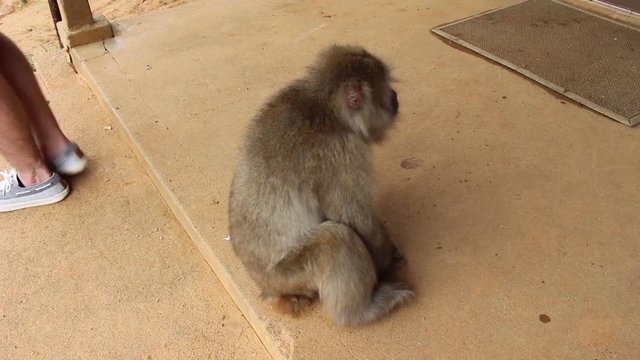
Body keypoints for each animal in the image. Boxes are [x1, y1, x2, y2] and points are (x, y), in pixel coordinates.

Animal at [228, 45, 412, 326]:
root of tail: (268, 286)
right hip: (291, 274)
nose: (394, 96)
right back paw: (362, 311)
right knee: (334, 239)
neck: (326, 107)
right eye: (387, 89)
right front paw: (386, 261)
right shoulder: (343, 153)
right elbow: (356, 221)